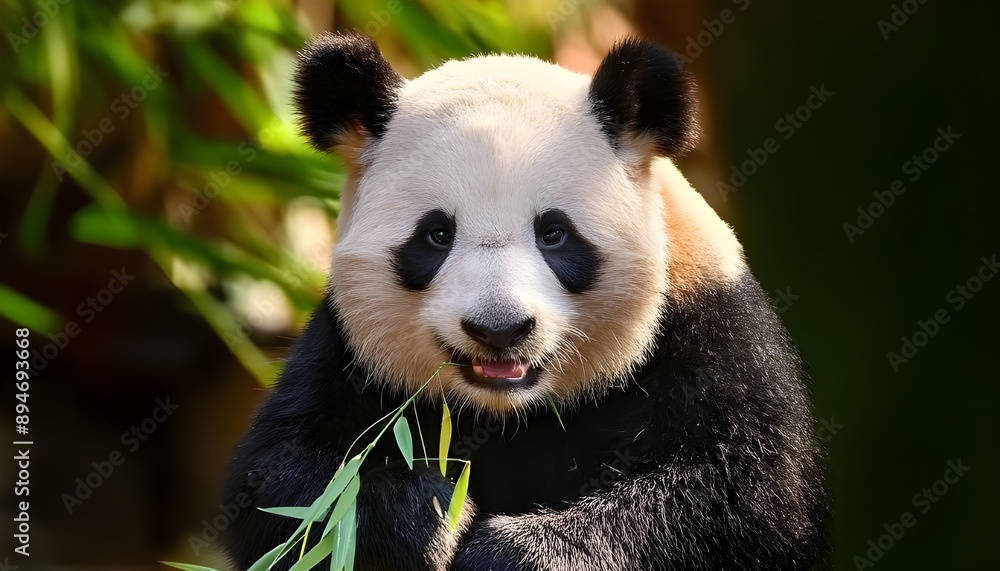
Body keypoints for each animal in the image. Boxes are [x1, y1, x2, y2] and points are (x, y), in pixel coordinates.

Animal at [222, 32, 830, 570]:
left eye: (554, 233)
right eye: (436, 235)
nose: (500, 328)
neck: (515, 411)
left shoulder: (709, 329)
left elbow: (741, 497)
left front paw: (514, 553)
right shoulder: (347, 352)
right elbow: (285, 489)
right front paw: (433, 516)